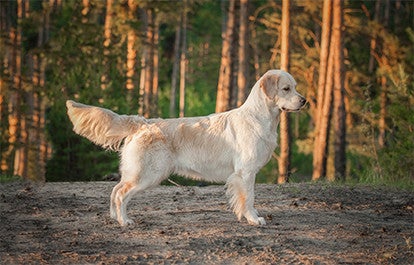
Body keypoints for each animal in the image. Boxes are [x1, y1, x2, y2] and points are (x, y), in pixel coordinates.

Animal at [67, 69, 308, 225]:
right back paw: (124, 221)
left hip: (136, 172)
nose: (304, 101)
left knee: (115, 190)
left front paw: (250, 215)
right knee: (120, 194)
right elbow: (248, 198)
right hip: (147, 174)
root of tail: (142, 122)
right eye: (286, 88)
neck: (260, 117)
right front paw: (253, 219)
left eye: (295, 88)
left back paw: (114, 217)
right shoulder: (245, 172)